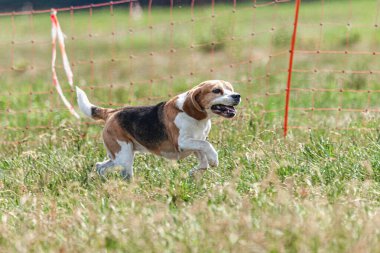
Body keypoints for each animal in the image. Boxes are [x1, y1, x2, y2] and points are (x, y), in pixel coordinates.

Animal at [75, 80, 240, 179]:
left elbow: (203, 161)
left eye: (230, 89)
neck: (199, 118)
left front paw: (194, 172)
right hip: (124, 156)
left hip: (119, 156)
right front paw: (214, 159)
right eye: (217, 90)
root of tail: (112, 112)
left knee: (100, 166)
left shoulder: (195, 142)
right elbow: (207, 146)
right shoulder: (182, 142)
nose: (237, 95)